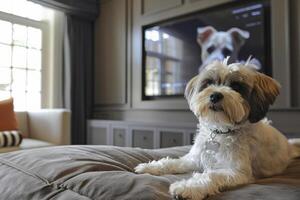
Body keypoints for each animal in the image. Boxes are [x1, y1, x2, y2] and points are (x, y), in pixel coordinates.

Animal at [136, 59, 300, 200]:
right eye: (208, 83)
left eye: (236, 86)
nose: (215, 95)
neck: (220, 131)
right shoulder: (194, 159)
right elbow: (173, 162)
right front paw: (151, 166)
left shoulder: (237, 172)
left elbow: (211, 175)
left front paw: (188, 187)